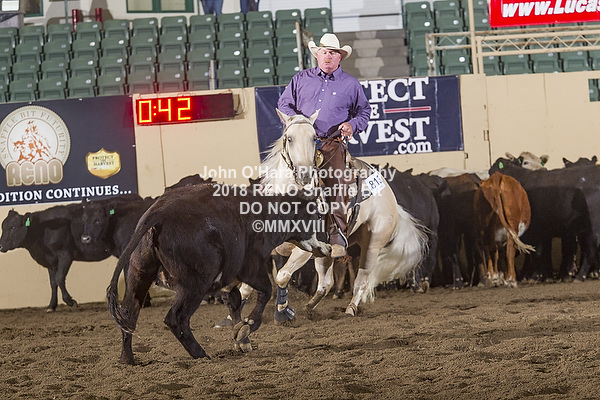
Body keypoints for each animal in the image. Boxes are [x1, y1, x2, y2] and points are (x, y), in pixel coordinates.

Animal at [0, 194, 142, 311]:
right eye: (3, 227)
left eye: (13, 227)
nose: (0, 246)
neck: (43, 229)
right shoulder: (51, 261)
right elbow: (53, 283)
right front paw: (51, 306)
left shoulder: (65, 255)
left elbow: (59, 278)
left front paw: (71, 302)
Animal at [106, 184, 331, 364]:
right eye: (318, 216)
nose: (329, 245)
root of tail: (157, 214)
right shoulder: (251, 268)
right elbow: (265, 292)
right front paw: (247, 327)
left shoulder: (229, 281)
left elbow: (235, 304)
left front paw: (241, 340)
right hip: (195, 285)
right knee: (176, 318)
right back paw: (200, 354)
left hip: (138, 277)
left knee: (128, 314)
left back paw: (127, 358)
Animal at [265, 109, 429, 318]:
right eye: (290, 138)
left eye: (313, 138)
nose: (305, 175)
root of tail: (392, 201)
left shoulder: (303, 250)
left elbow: (282, 276)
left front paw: (282, 313)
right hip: (327, 251)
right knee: (326, 284)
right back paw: (309, 308)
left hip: (372, 244)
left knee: (361, 280)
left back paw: (350, 309)